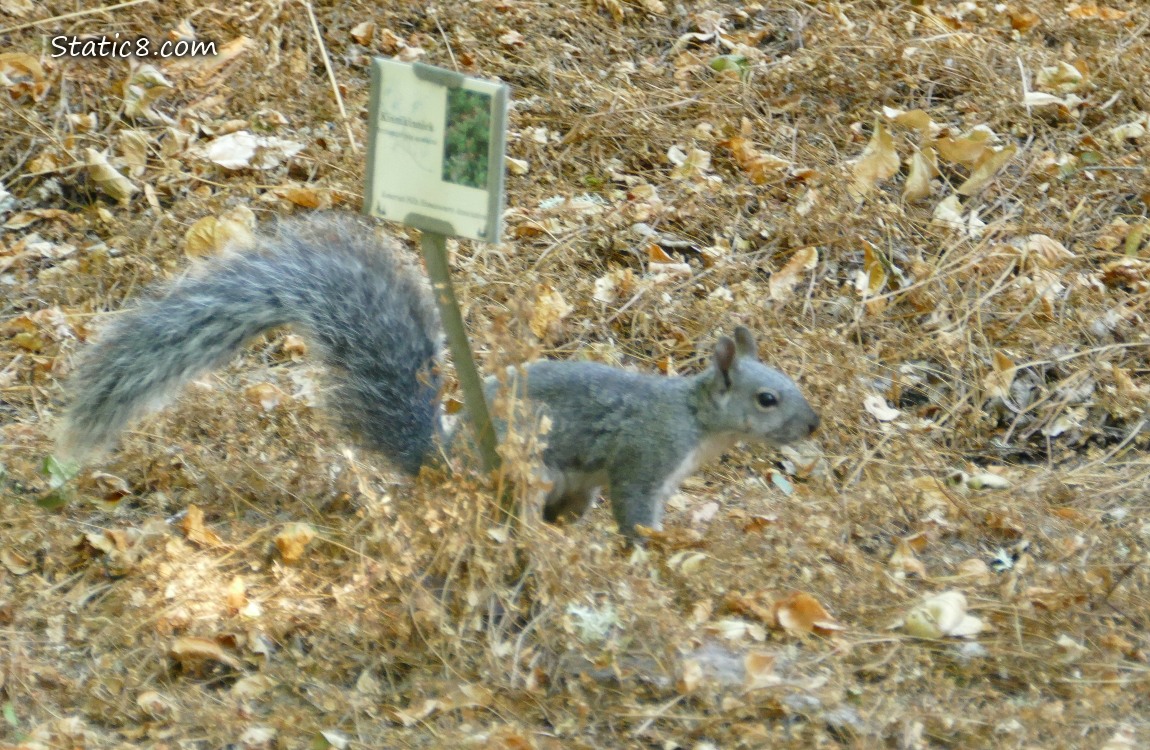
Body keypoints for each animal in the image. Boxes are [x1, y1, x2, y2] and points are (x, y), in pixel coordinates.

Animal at [58, 215, 820, 541]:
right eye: (767, 398)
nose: (814, 424)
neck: (694, 420)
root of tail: (441, 457)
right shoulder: (644, 459)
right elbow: (636, 512)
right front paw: (661, 548)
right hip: (526, 469)